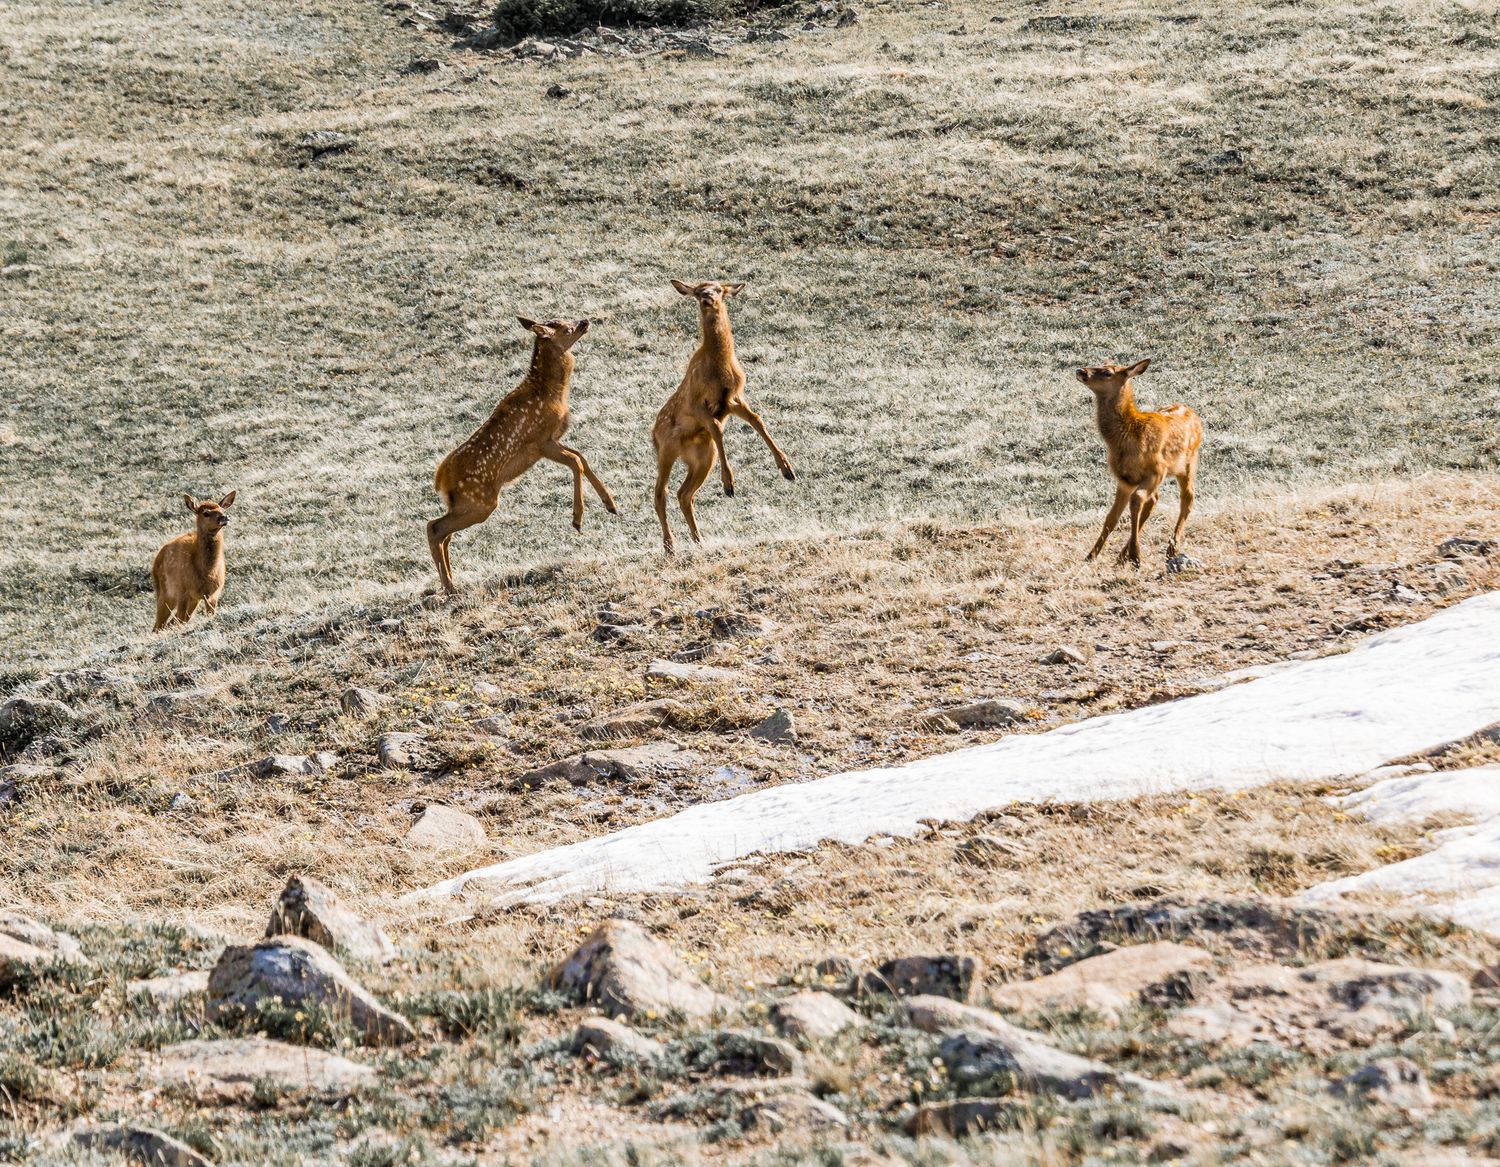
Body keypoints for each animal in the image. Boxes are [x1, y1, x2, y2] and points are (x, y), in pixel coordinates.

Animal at [152, 491, 236, 631]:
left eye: (223, 509)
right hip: (165, 592)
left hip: (192, 600)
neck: (207, 572)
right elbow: (179, 620)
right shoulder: (183, 591)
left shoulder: (213, 593)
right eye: (206, 513)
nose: (225, 517)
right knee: (160, 625)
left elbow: (210, 614)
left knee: (171, 622)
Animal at [427, 316, 617, 595]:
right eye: (566, 328)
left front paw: (610, 504)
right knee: (434, 528)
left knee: (445, 534)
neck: (551, 391)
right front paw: (577, 518)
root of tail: (441, 479)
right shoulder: (540, 441)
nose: (584, 321)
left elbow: (582, 457)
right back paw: (450, 588)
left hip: (464, 504)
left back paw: (451, 582)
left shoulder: (552, 440)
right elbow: (576, 462)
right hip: (480, 503)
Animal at [651, 279, 795, 554]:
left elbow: (757, 419)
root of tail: (652, 435)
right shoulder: (697, 403)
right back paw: (669, 545)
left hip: (703, 457)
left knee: (684, 494)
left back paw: (698, 540)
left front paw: (787, 468)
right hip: (667, 449)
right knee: (660, 492)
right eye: (697, 291)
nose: (707, 296)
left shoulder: (733, 399)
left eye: (718, 288)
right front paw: (729, 483)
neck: (719, 366)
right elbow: (718, 428)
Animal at [1076, 359, 1203, 566]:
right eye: (1099, 363)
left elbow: (1136, 500)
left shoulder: (1158, 469)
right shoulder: (1124, 479)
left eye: (1107, 372)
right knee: (1153, 499)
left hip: (1188, 463)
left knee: (1187, 498)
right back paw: (1122, 556)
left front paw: (1136, 555)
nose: (1080, 370)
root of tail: (1194, 414)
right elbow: (1111, 518)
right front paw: (1090, 556)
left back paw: (1171, 548)